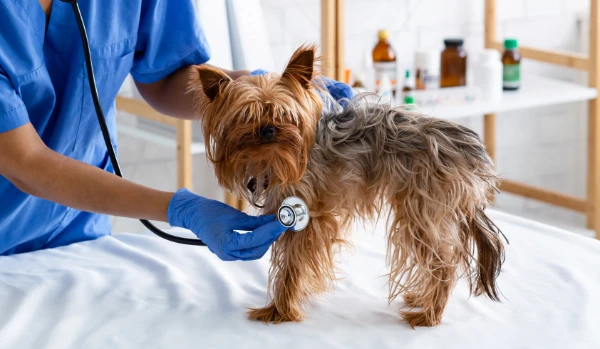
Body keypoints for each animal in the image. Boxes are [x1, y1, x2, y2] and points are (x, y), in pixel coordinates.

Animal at [189, 44, 506, 326]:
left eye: (284, 114)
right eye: (247, 116)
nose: (268, 130)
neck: (278, 158)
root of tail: (469, 149)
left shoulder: (307, 217)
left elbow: (291, 266)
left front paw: (280, 310)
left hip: (422, 210)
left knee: (444, 262)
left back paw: (429, 314)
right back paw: (421, 299)